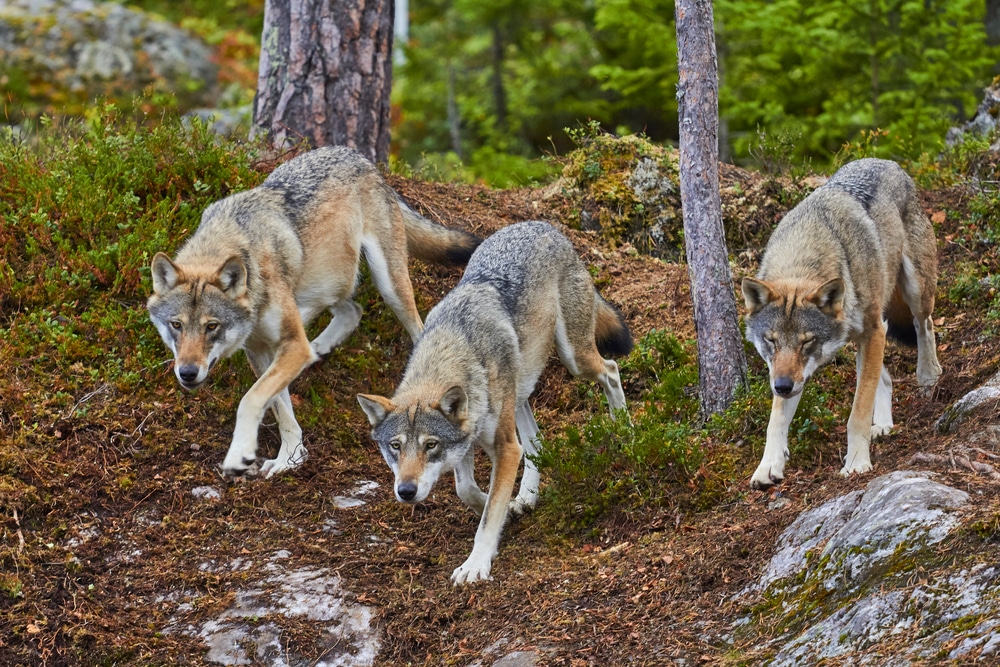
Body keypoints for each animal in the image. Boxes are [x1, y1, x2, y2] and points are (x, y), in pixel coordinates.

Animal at [145, 147, 480, 480]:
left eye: (211, 326)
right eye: (176, 325)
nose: (187, 373)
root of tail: (358, 156)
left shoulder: (290, 346)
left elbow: (251, 399)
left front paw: (240, 454)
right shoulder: (262, 351)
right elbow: (281, 409)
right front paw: (289, 458)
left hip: (389, 286)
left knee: (415, 329)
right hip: (325, 285)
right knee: (352, 311)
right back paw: (318, 349)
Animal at [356, 222, 628, 588]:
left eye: (430, 445)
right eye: (395, 447)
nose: (406, 491)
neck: (453, 348)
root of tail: (543, 226)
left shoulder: (504, 448)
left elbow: (487, 515)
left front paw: (476, 563)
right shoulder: (468, 443)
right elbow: (467, 490)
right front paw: (507, 508)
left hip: (575, 359)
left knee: (611, 370)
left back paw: (624, 429)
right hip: (520, 392)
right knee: (536, 443)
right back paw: (526, 497)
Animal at [744, 157, 944, 490]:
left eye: (807, 341)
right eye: (771, 341)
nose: (782, 386)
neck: (805, 256)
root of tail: (887, 161)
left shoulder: (874, 330)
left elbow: (857, 413)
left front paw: (856, 463)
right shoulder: (791, 371)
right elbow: (776, 421)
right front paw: (768, 466)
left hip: (914, 293)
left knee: (924, 326)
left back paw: (928, 377)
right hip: (861, 338)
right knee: (885, 378)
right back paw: (884, 425)